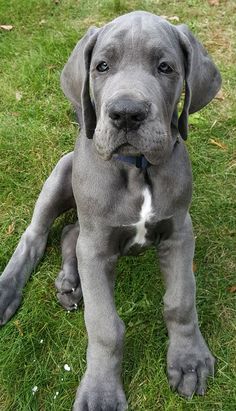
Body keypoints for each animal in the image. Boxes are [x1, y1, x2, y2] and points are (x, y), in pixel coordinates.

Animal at [0, 11, 221, 410]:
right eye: (102, 66)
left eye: (165, 67)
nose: (127, 114)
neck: (137, 169)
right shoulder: (98, 246)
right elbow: (104, 326)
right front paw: (101, 391)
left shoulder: (179, 232)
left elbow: (180, 301)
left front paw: (189, 360)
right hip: (62, 172)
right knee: (36, 236)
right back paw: (10, 291)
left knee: (70, 233)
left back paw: (70, 284)